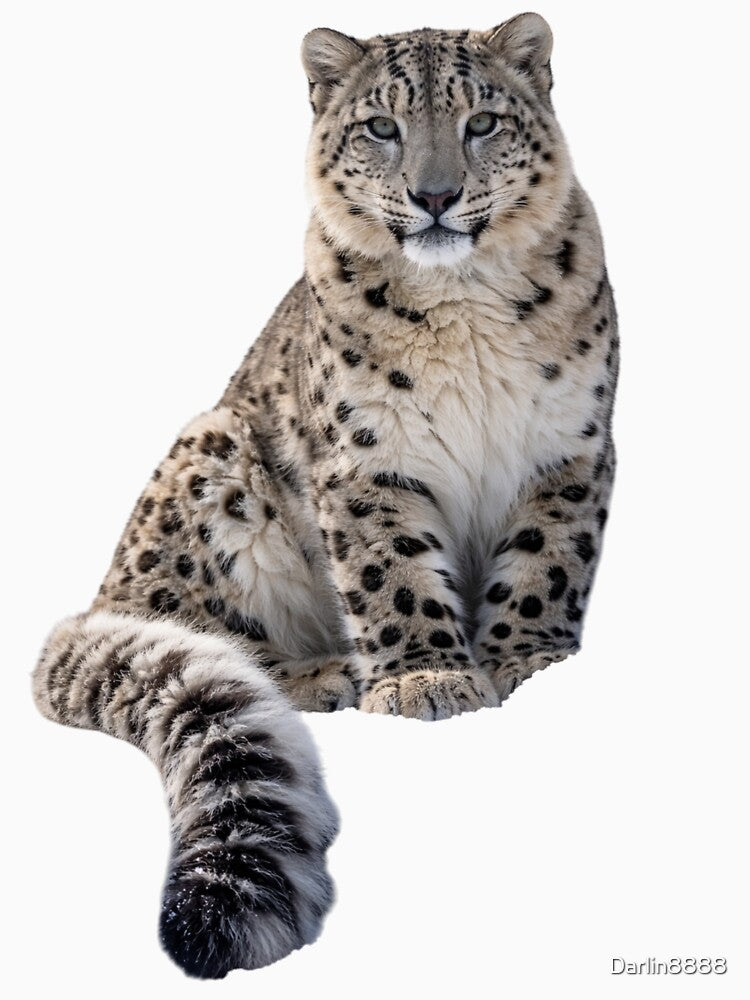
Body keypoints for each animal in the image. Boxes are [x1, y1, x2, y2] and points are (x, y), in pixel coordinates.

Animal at [32, 13, 618, 979]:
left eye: (482, 122)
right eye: (381, 126)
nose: (434, 195)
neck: (466, 307)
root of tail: (97, 593)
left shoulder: (566, 449)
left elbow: (545, 565)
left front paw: (532, 662)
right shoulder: (368, 462)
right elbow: (394, 578)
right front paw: (425, 680)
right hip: (215, 458)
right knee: (203, 635)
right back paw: (329, 672)